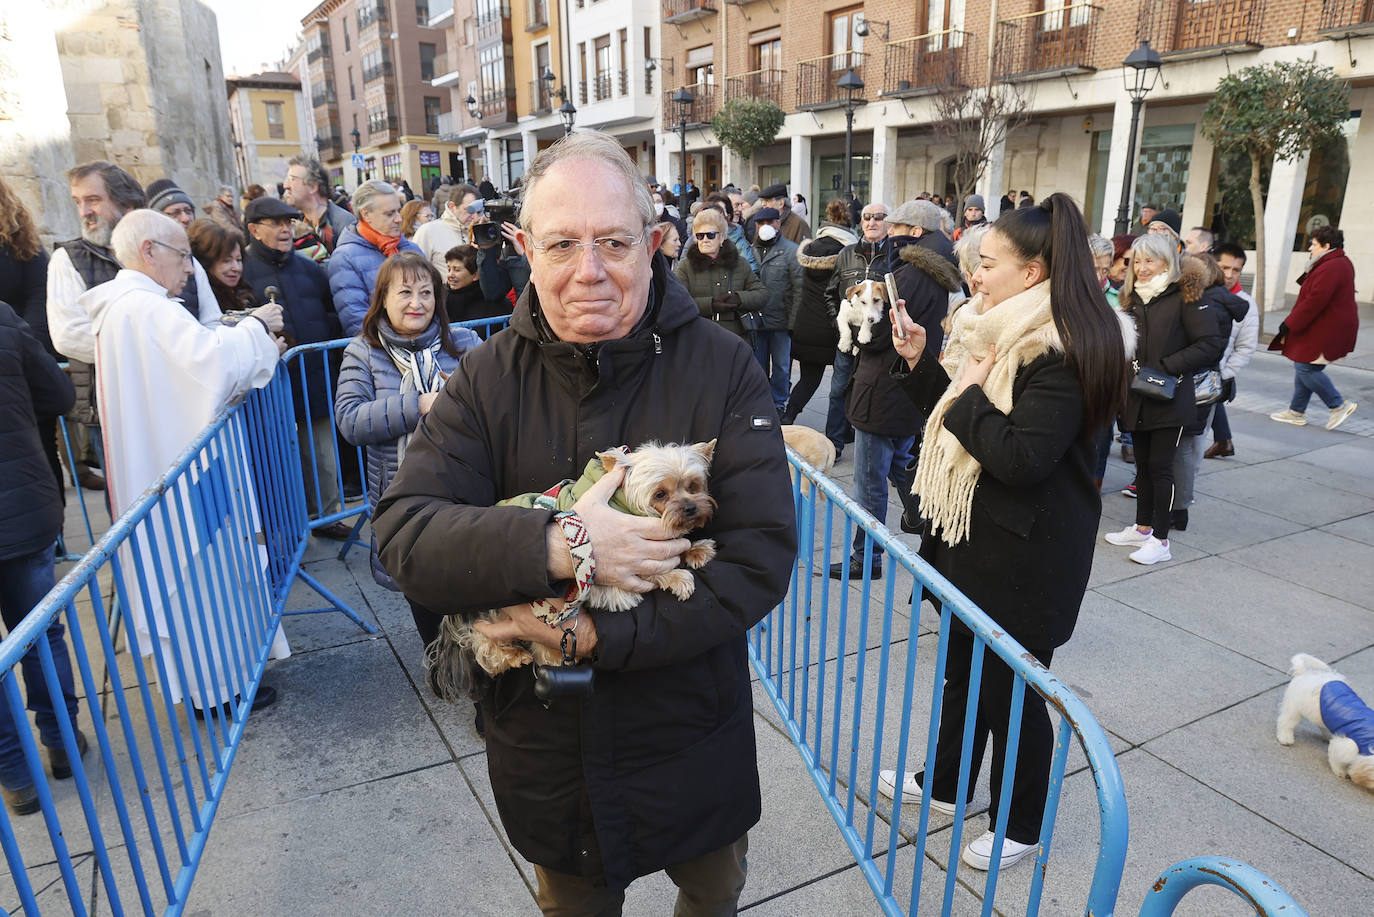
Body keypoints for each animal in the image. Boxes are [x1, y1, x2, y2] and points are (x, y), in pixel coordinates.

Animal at [1275, 651, 1374, 791]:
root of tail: (1304, 672)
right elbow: (1340, 754)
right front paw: (1340, 771)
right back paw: (1285, 737)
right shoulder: (1345, 743)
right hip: (1295, 707)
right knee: (1286, 721)